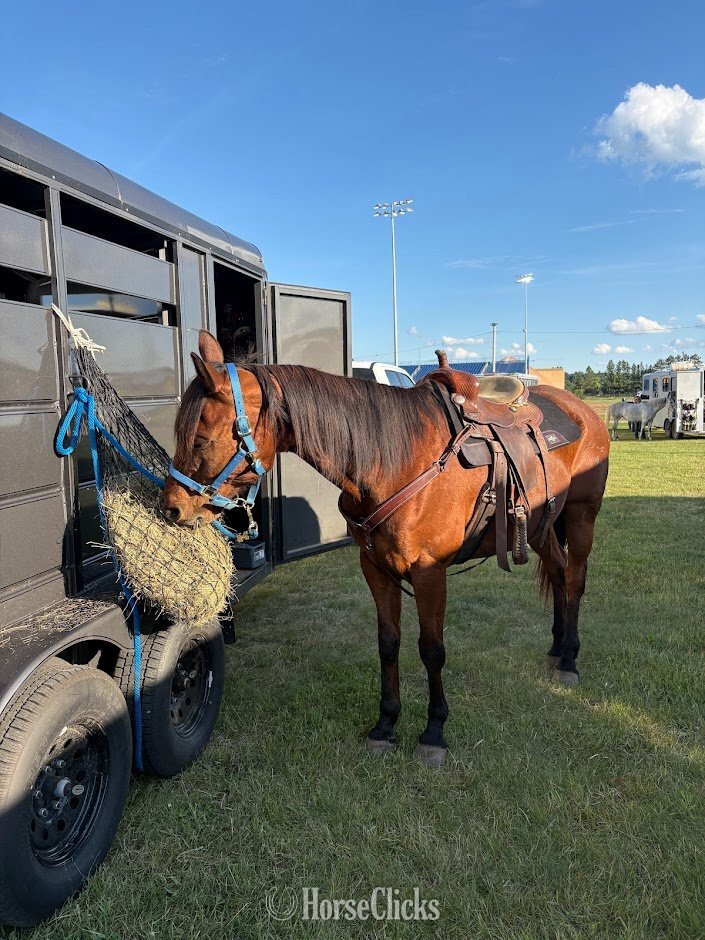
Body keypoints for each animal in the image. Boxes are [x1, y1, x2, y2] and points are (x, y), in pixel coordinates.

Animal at [164, 331, 610, 767]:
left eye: (201, 439)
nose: (172, 508)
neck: (393, 461)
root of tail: (581, 411)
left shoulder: (430, 573)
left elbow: (431, 650)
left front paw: (434, 732)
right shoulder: (375, 568)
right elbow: (388, 643)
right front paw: (385, 723)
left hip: (581, 516)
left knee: (575, 580)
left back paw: (569, 659)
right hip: (539, 526)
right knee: (557, 573)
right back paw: (555, 648)